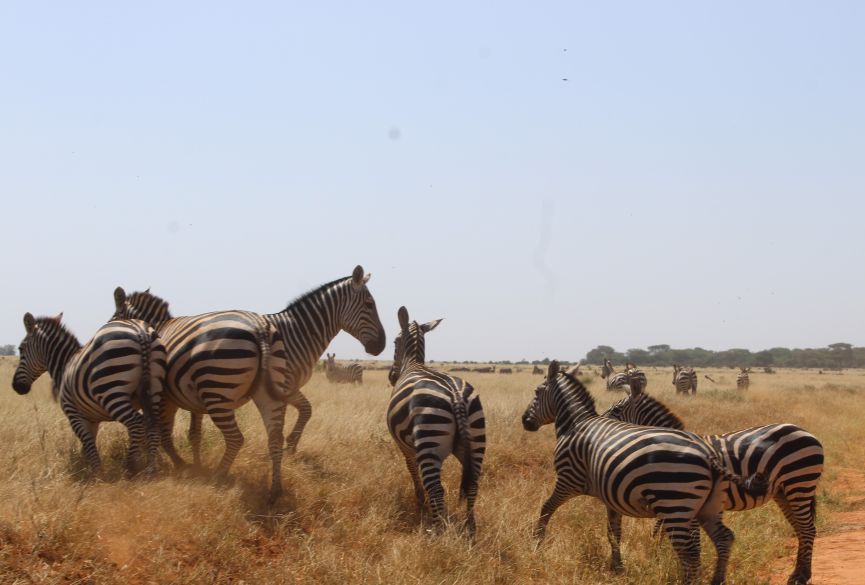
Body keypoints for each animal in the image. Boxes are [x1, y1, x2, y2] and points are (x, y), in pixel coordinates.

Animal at [12, 310, 165, 474]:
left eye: (21, 349)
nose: (16, 386)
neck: (65, 365)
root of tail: (140, 331)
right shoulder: (92, 418)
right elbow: (87, 445)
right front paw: (86, 466)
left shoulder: (74, 414)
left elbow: (87, 441)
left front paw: (97, 472)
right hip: (154, 387)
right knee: (154, 425)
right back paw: (150, 468)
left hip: (111, 389)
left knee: (136, 423)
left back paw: (129, 466)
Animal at [112, 264, 384, 498]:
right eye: (370, 304)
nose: (380, 345)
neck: (297, 334)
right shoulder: (286, 386)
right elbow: (305, 410)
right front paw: (291, 444)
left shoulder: (284, 388)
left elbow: (304, 411)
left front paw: (291, 444)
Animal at [386, 308, 486, 536]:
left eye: (395, 342)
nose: (391, 376)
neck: (413, 363)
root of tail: (456, 395)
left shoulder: (406, 446)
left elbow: (412, 470)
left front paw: (420, 502)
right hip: (477, 439)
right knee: (472, 485)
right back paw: (470, 529)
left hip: (429, 438)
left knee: (436, 488)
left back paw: (437, 530)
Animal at [520, 360, 764, 584]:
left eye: (536, 392)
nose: (525, 422)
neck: (575, 424)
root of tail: (708, 454)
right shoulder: (610, 494)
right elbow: (614, 531)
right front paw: (617, 566)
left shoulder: (567, 480)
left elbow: (545, 509)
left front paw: (536, 544)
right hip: (704, 507)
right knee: (723, 538)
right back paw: (716, 579)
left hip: (676, 504)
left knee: (690, 552)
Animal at [600, 388, 824, 584]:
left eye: (616, 410)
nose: (599, 422)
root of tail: (804, 431)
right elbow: (661, 531)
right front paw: (659, 559)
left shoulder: (684, 502)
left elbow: (691, 542)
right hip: (783, 491)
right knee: (799, 527)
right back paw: (798, 573)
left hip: (799, 483)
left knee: (808, 528)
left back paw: (802, 576)